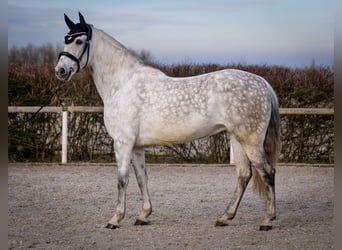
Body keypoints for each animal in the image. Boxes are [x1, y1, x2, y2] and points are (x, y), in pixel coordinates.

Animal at [55, 12, 280, 230]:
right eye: (66, 39)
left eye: (79, 41)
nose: (60, 71)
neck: (123, 83)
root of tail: (262, 83)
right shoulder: (136, 146)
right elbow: (141, 179)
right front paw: (143, 216)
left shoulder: (122, 142)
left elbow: (122, 180)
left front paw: (115, 219)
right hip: (237, 138)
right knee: (243, 175)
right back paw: (225, 217)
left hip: (250, 141)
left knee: (267, 172)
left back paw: (267, 220)